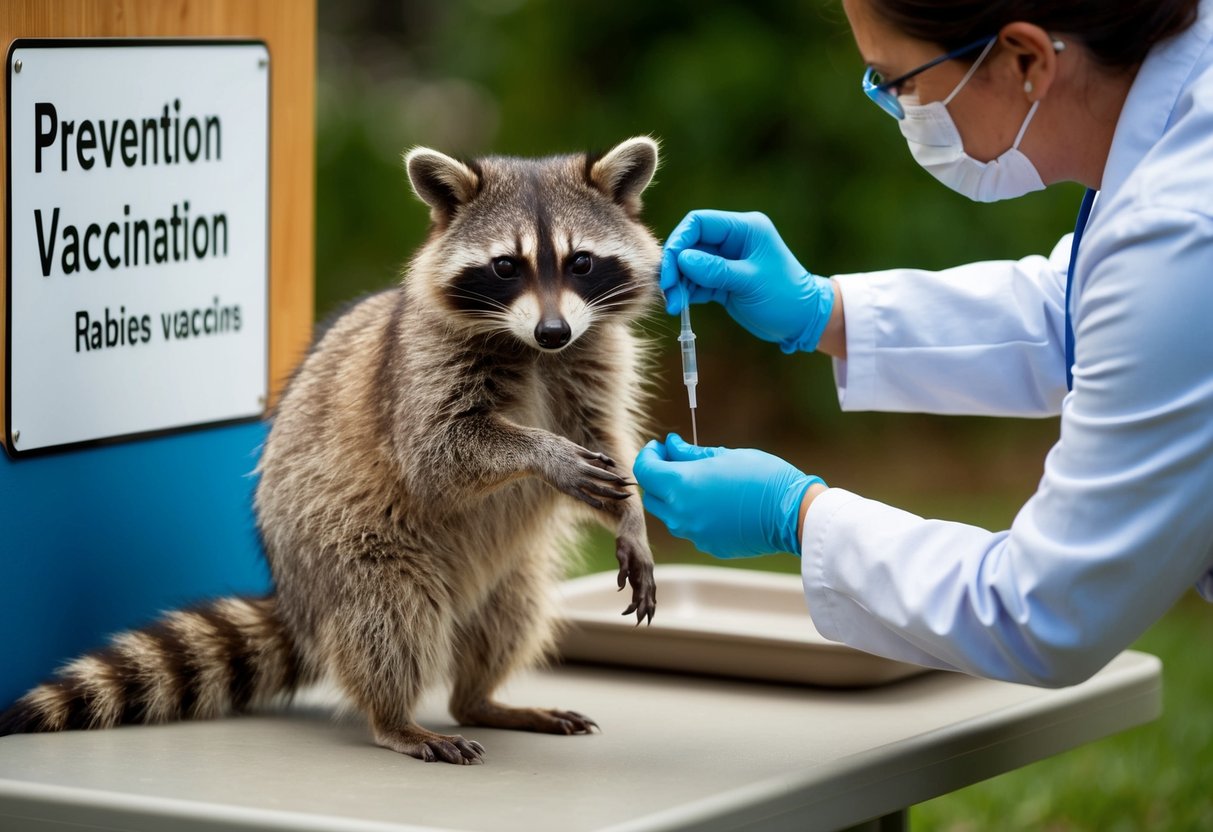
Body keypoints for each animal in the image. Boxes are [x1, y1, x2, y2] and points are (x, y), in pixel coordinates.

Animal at [0, 137, 662, 764]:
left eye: (580, 262)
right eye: (505, 266)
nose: (553, 331)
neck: (532, 349)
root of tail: (298, 602)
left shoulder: (591, 360)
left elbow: (605, 442)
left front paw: (631, 515)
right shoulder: (421, 369)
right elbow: (439, 455)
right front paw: (542, 450)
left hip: (508, 571)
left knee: (510, 615)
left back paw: (480, 699)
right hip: (345, 549)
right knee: (392, 616)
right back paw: (395, 719)